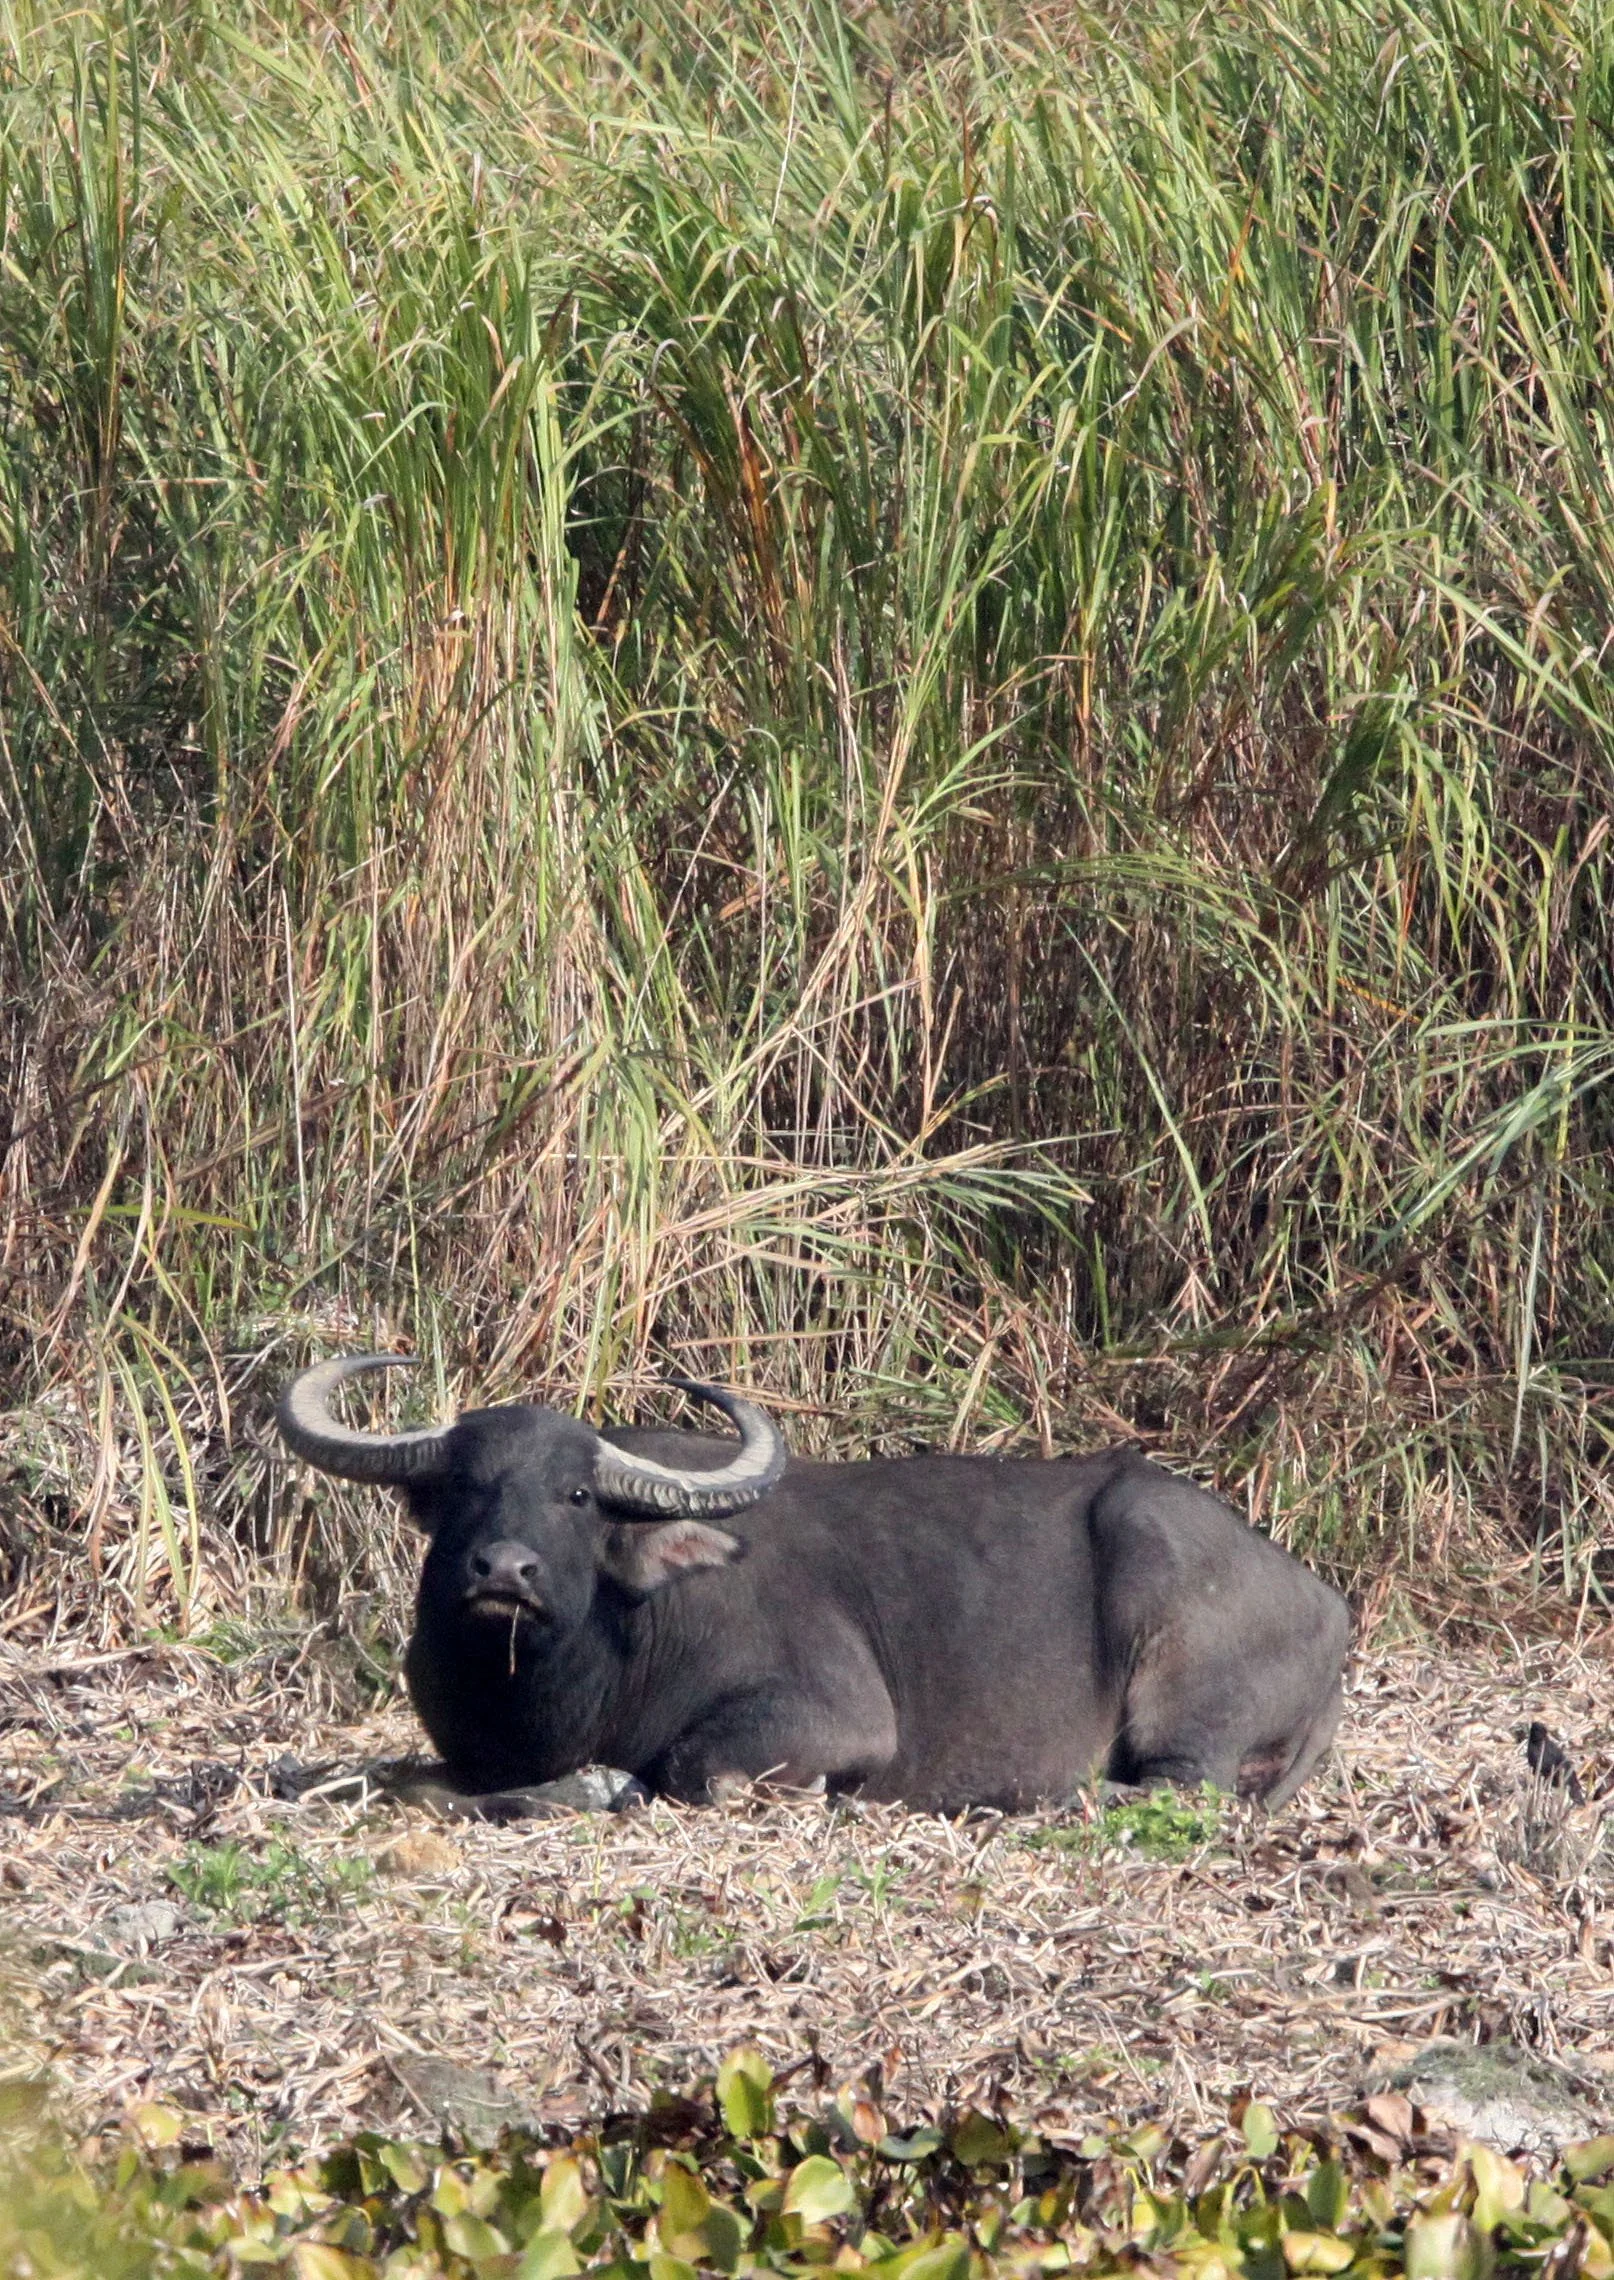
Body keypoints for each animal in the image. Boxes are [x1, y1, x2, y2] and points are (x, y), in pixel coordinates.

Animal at [277, 1355, 1350, 1813]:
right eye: (464, 1486)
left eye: (576, 1494)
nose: (504, 1570)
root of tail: (1326, 1602)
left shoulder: (832, 1718)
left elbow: (690, 1768)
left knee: (1174, 1789)